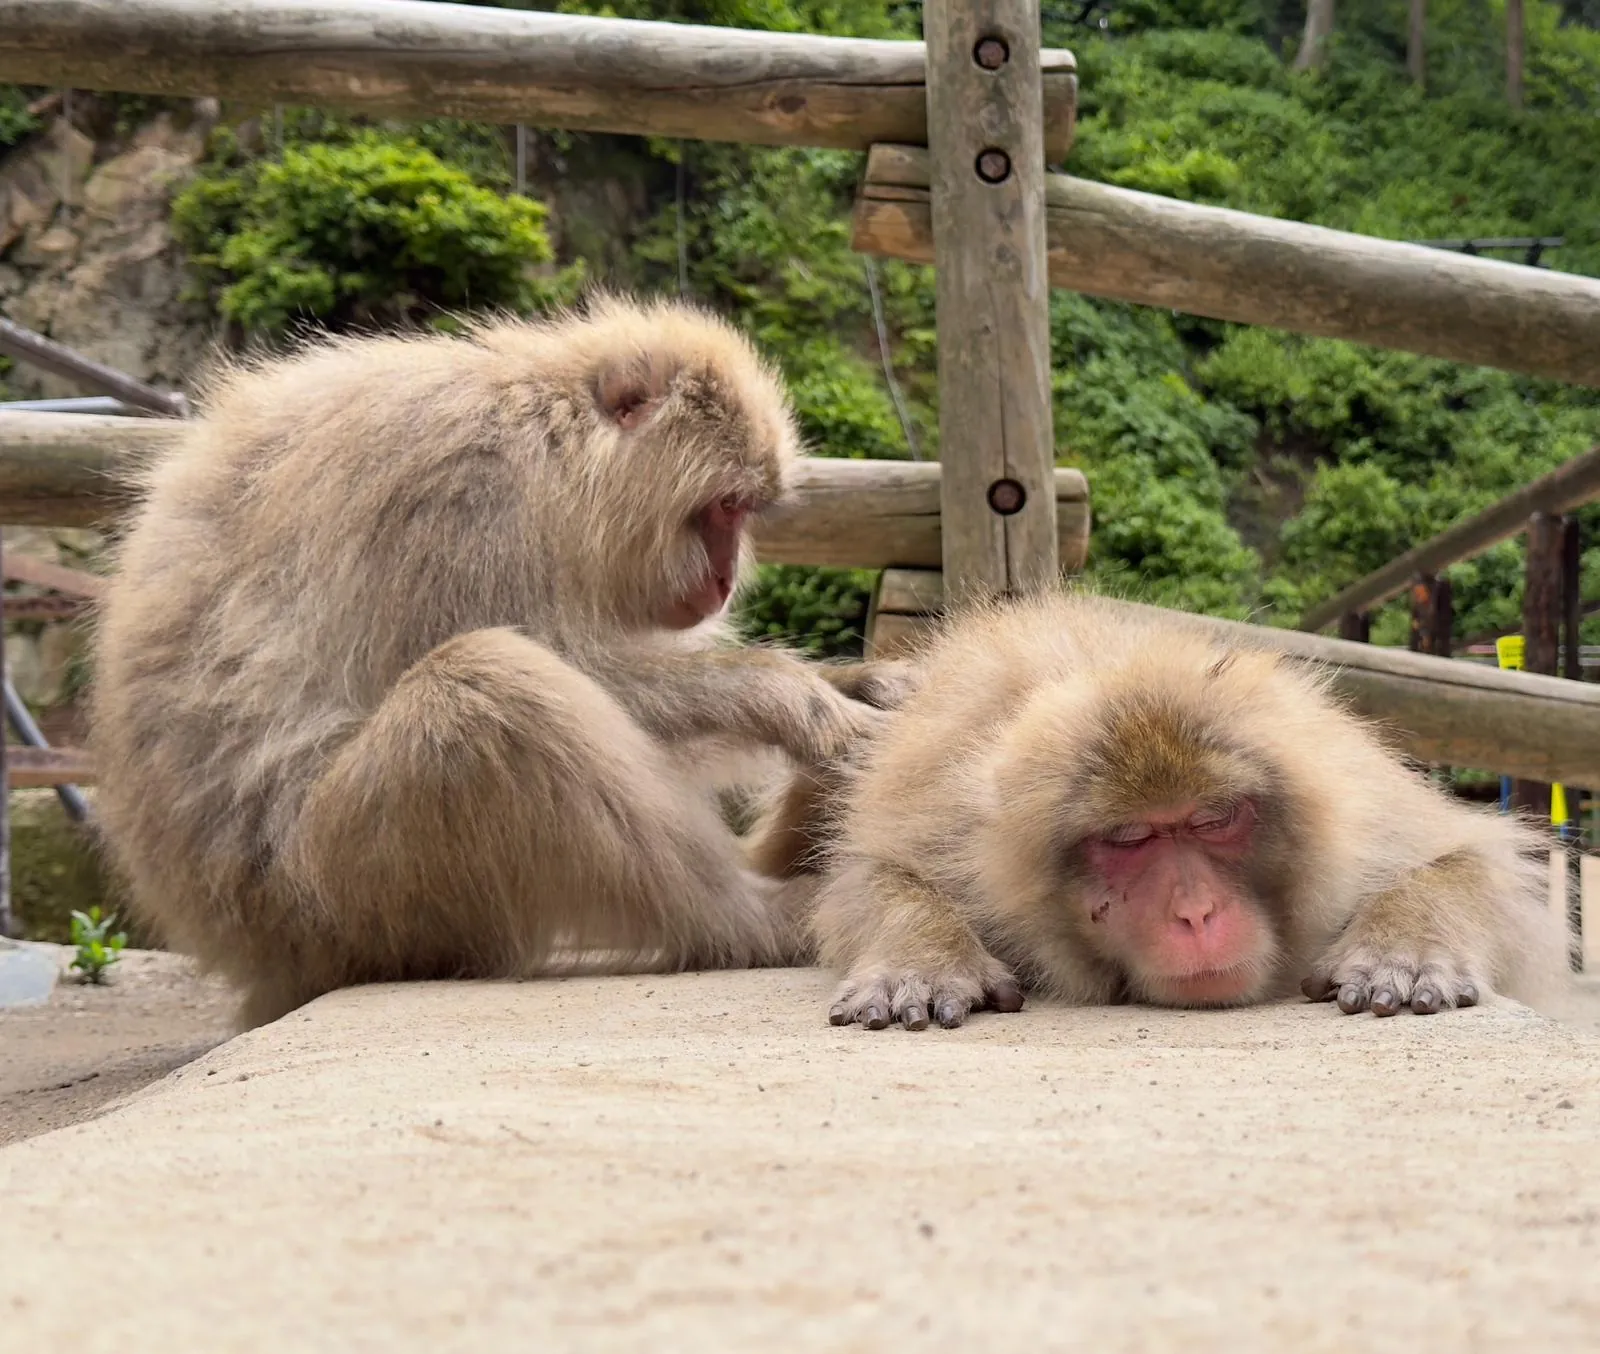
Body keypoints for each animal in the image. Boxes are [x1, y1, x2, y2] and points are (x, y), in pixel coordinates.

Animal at [86, 292, 912, 1029]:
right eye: (725, 507)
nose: (724, 581)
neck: (548, 450)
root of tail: (247, 958)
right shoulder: (457, 495)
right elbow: (550, 663)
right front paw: (791, 696)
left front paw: (862, 680)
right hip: (338, 899)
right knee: (483, 688)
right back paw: (749, 919)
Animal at [811, 589, 1574, 1031]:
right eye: (1129, 837)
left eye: (1214, 820)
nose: (1197, 913)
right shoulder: (955, 826)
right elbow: (871, 875)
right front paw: (921, 959)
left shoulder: (1364, 818)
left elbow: (1474, 860)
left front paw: (1405, 950)